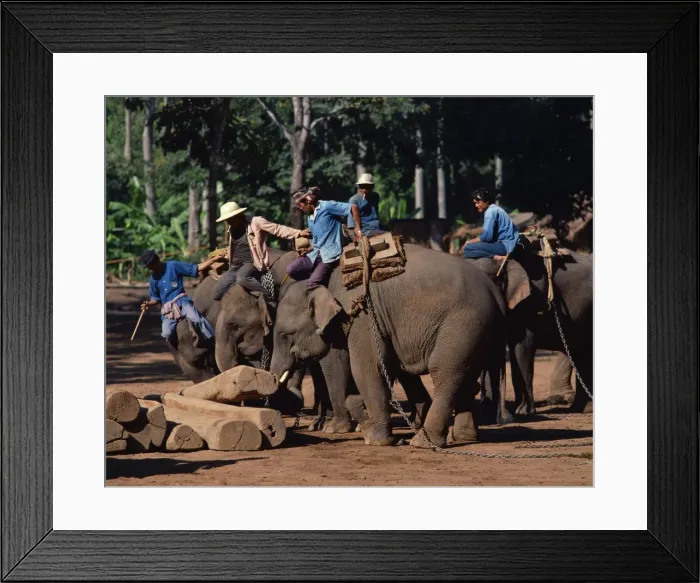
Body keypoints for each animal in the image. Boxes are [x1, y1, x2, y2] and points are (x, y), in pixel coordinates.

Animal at [269, 243, 508, 449]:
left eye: (284, 336)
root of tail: (495, 292)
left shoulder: (363, 315)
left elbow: (366, 366)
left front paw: (373, 440)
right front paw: (363, 424)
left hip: (463, 325)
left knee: (446, 374)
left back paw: (422, 442)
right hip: (476, 333)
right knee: (467, 377)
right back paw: (463, 437)